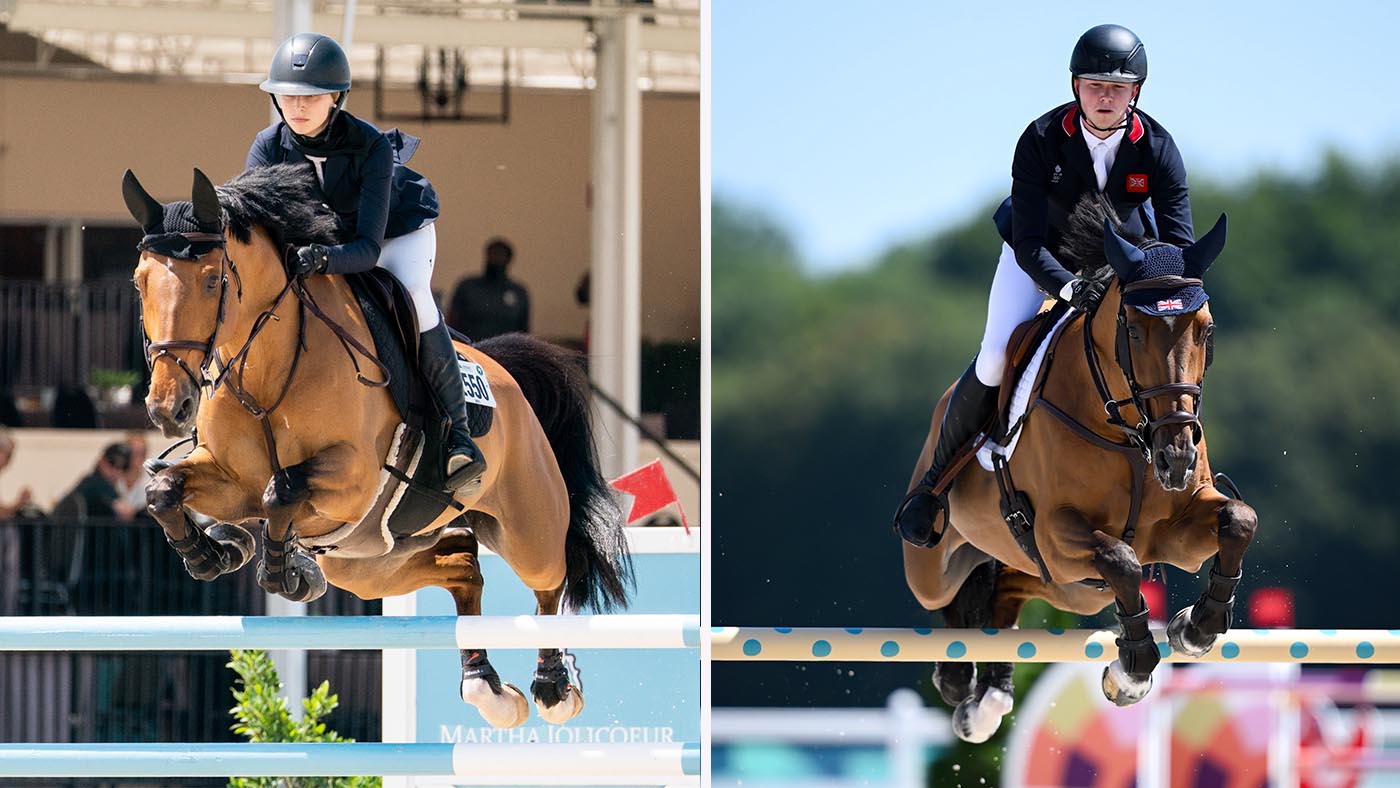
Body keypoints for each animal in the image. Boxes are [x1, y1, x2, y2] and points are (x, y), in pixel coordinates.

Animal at [121, 165, 632, 729]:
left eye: (213, 281)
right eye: (139, 282)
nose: (169, 408)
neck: (270, 371)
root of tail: (505, 375)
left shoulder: (354, 478)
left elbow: (283, 491)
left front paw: (279, 569)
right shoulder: (233, 481)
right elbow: (165, 491)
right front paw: (216, 553)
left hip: (526, 527)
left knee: (550, 578)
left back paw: (554, 685)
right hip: (370, 562)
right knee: (462, 565)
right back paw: (486, 686)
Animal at [900, 196, 1257, 743]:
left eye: (1206, 329)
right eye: (1133, 330)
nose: (1176, 459)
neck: (1129, 434)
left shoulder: (1177, 534)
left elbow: (1239, 520)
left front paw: (1194, 629)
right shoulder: (1056, 534)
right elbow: (1120, 559)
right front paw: (1131, 672)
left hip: (1061, 588)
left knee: (1004, 599)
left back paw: (989, 696)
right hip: (938, 566)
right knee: (947, 598)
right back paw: (959, 681)